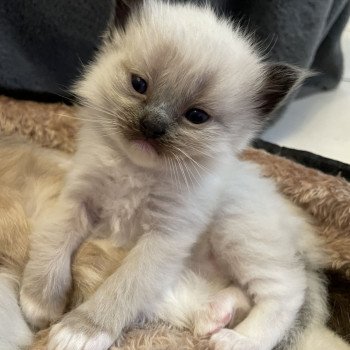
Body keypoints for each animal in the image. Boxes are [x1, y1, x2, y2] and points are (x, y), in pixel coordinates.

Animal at [19, 0, 330, 350]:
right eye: (139, 85)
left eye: (196, 116)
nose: (152, 126)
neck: (136, 170)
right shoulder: (77, 200)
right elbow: (53, 245)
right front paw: (40, 303)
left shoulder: (163, 239)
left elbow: (122, 287)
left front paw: (80, 332)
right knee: (241, 293)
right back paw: (213, 317)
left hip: (237, 232)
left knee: (286, 290)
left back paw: (236, 340)